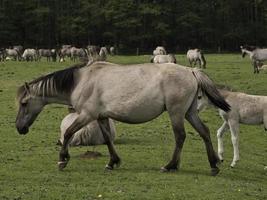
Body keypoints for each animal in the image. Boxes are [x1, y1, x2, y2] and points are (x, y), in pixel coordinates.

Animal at [15, 61, 231, 176]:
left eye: (24, 103)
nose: (19, 128)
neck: (82, 81)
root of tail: (190, 70)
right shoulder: (101, 117)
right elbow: (108, 140)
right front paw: (113, 162)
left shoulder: (86, 115)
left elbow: (68, 133)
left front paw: (62, 160)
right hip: (189, 113)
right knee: (204, 132)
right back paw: (213, 165)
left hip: (176, 113)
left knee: (180, 137)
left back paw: (170, 165)